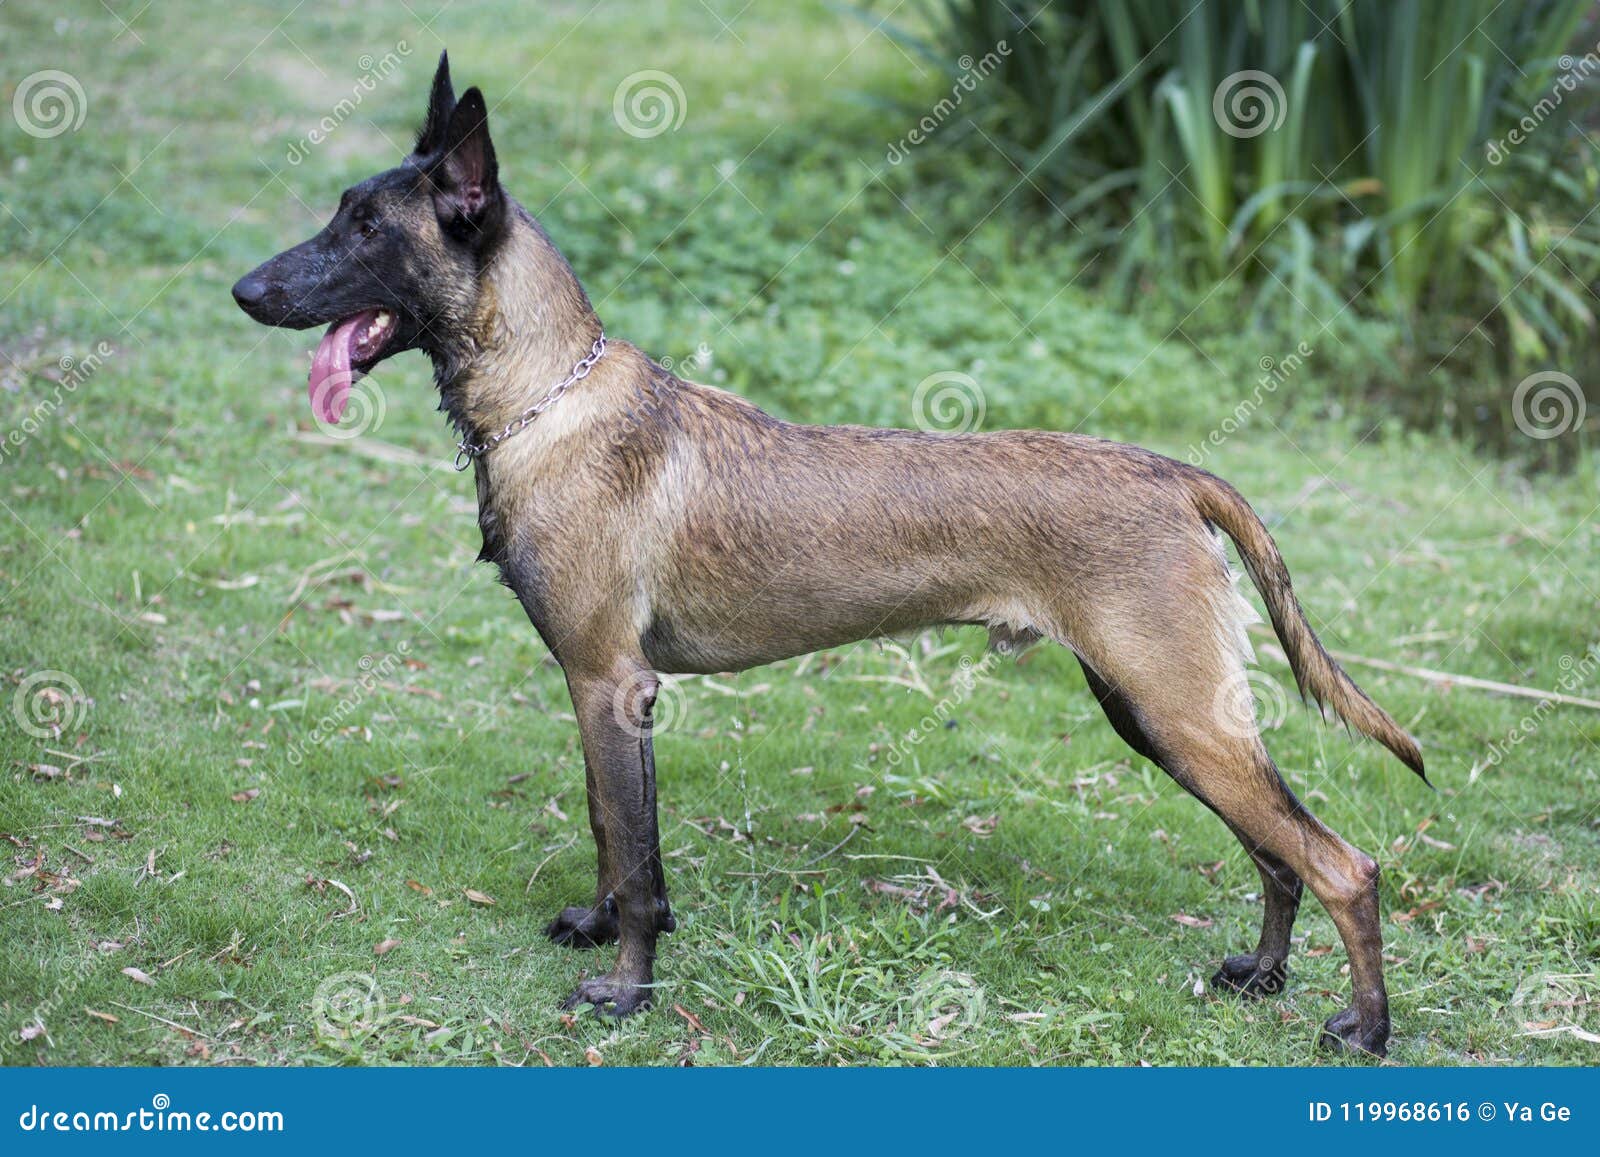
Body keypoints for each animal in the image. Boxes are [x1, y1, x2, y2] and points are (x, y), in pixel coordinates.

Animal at [232, 54, 1420, 1056]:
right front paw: (602, 926)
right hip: (1162, 715)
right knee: (1278, 851)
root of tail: (1172, 472)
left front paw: (626, 990)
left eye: (366, 227)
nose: (246, 292)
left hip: (1179, 713)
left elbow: (635, 845)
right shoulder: (601, 690)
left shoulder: (611, 684)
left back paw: (1364, 1028)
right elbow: (617, 838)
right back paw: (1261, 976)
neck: (548, 401)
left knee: (1342, 863)